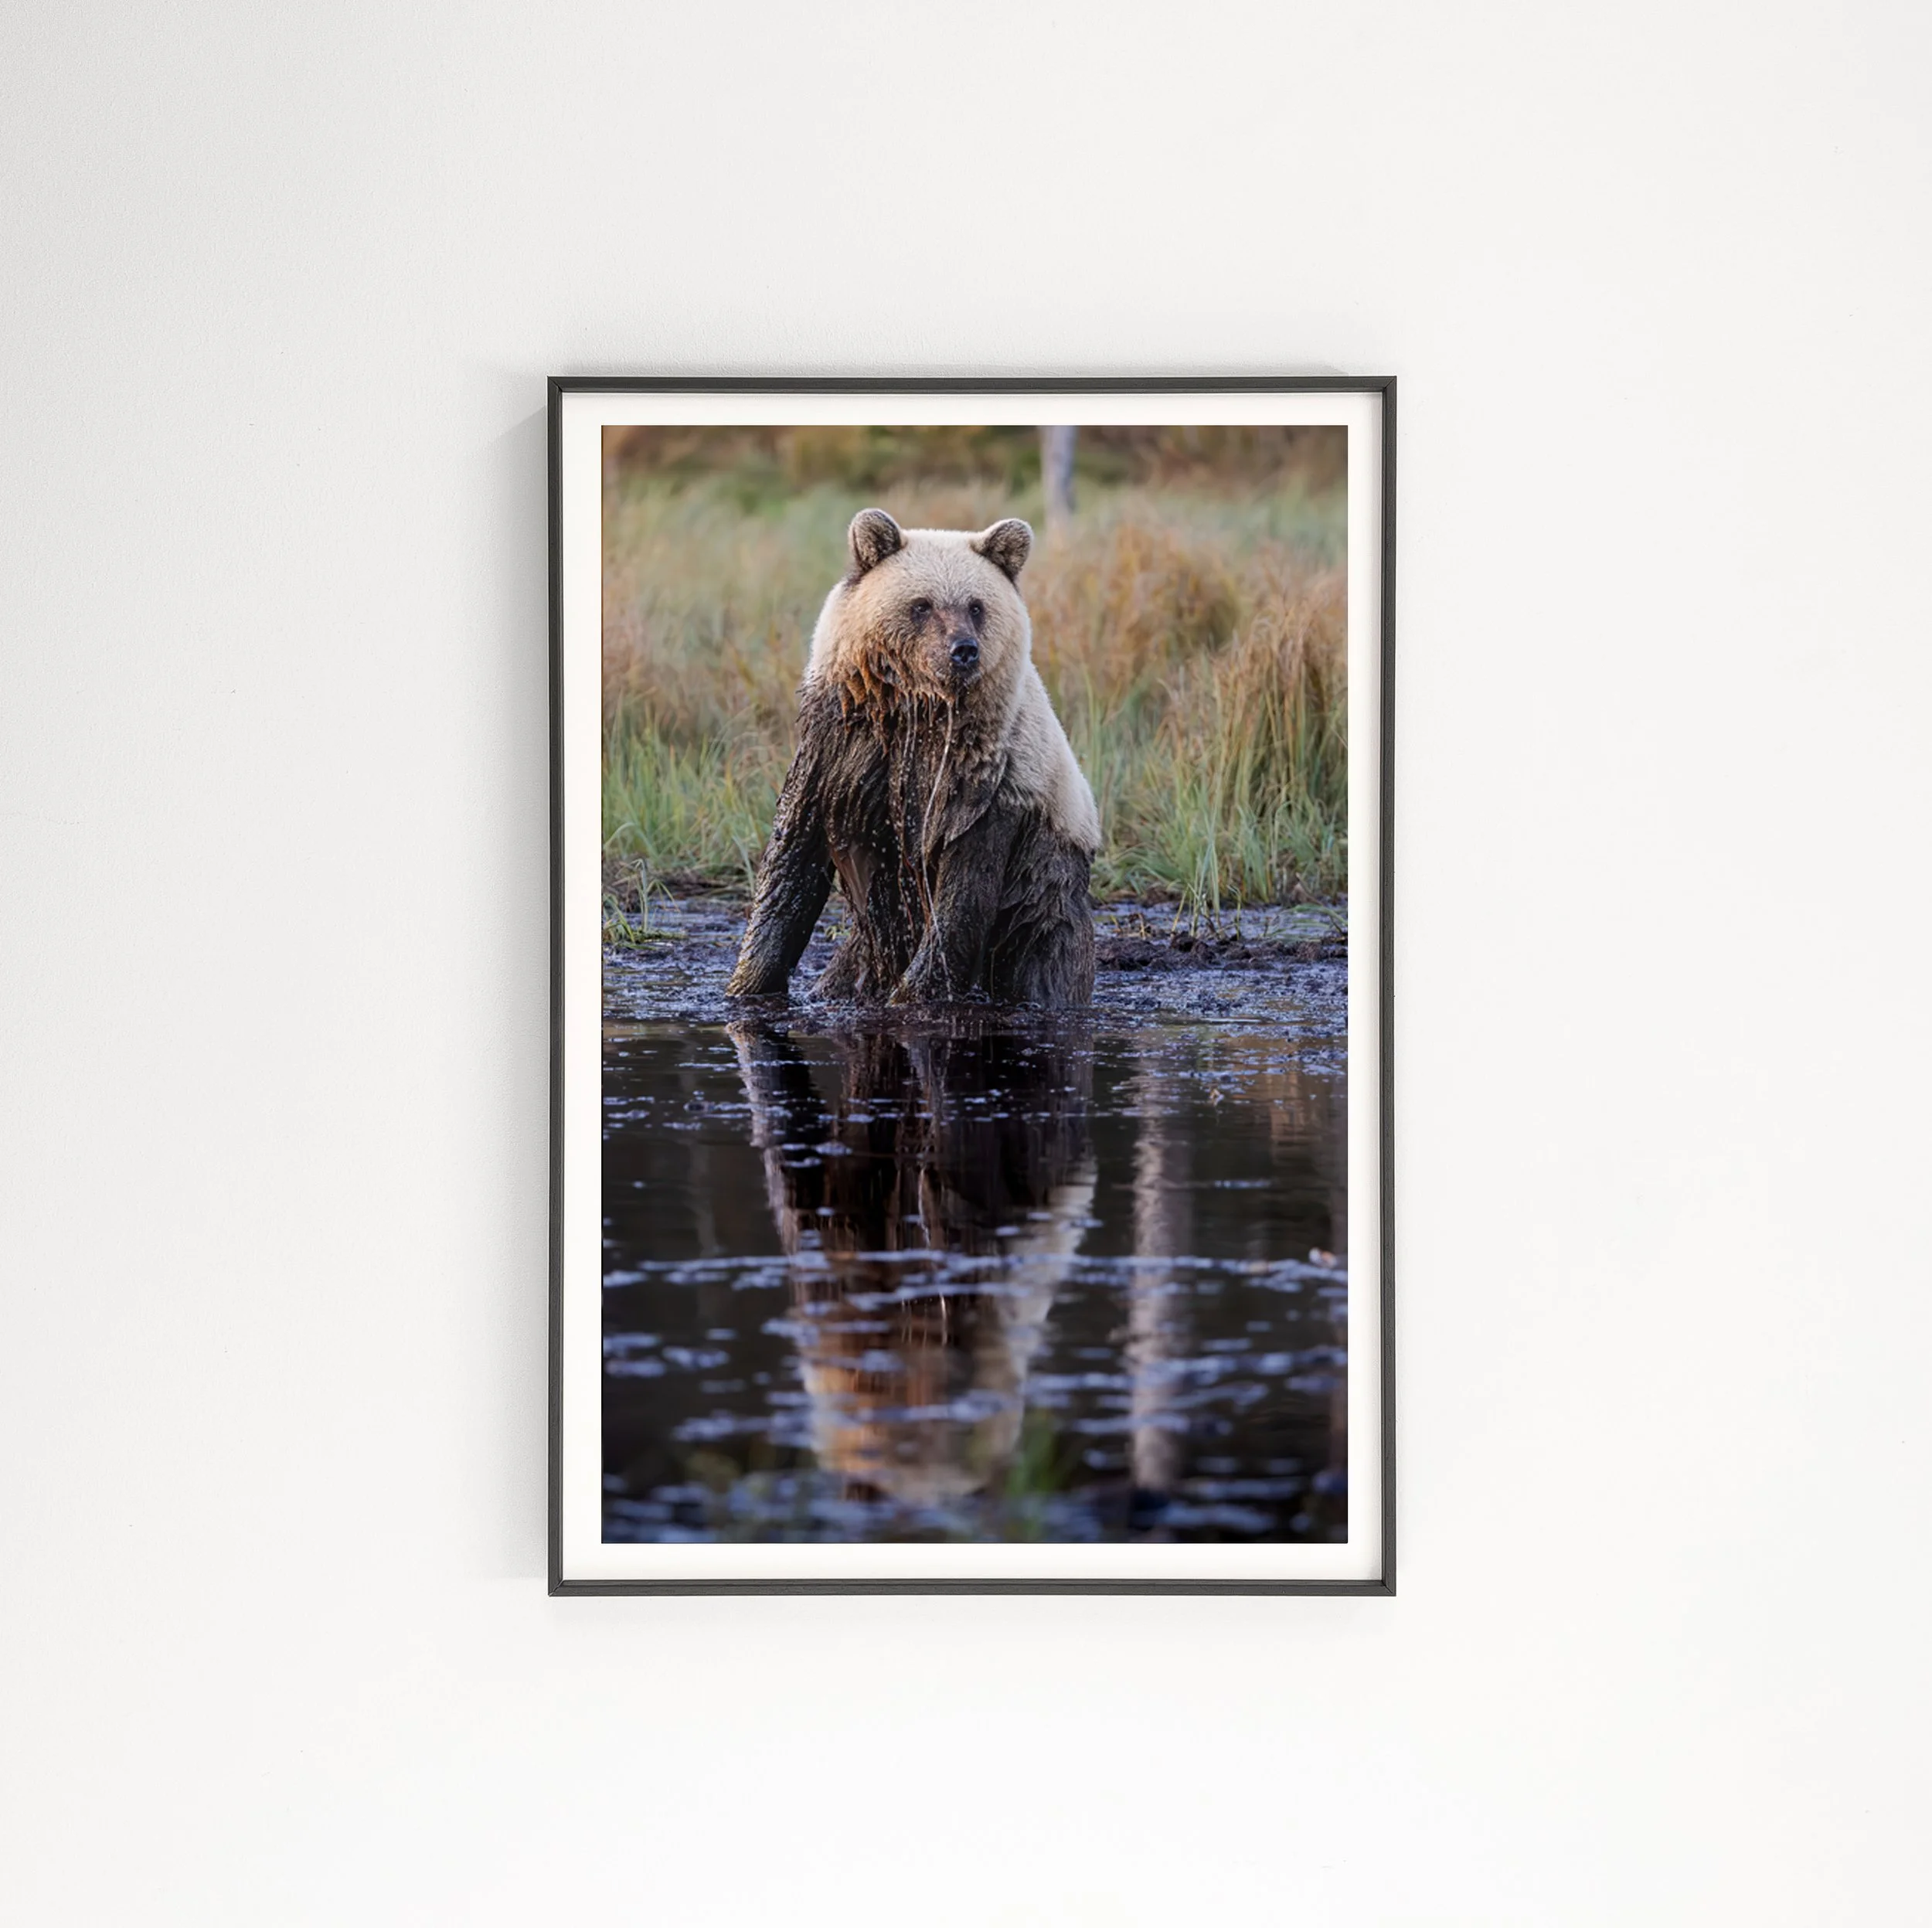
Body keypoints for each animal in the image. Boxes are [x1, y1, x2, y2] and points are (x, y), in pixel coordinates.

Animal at [725, 507, 1099, 1006]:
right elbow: (790, 865)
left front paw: (914, 995)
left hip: (1042, 904)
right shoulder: (834, 755)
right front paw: (747, 985)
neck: (914, 716)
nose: (963, 651)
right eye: (922, 604)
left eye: (976, 606)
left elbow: (960, 903)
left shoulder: (987, 792)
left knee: (1043, 964)